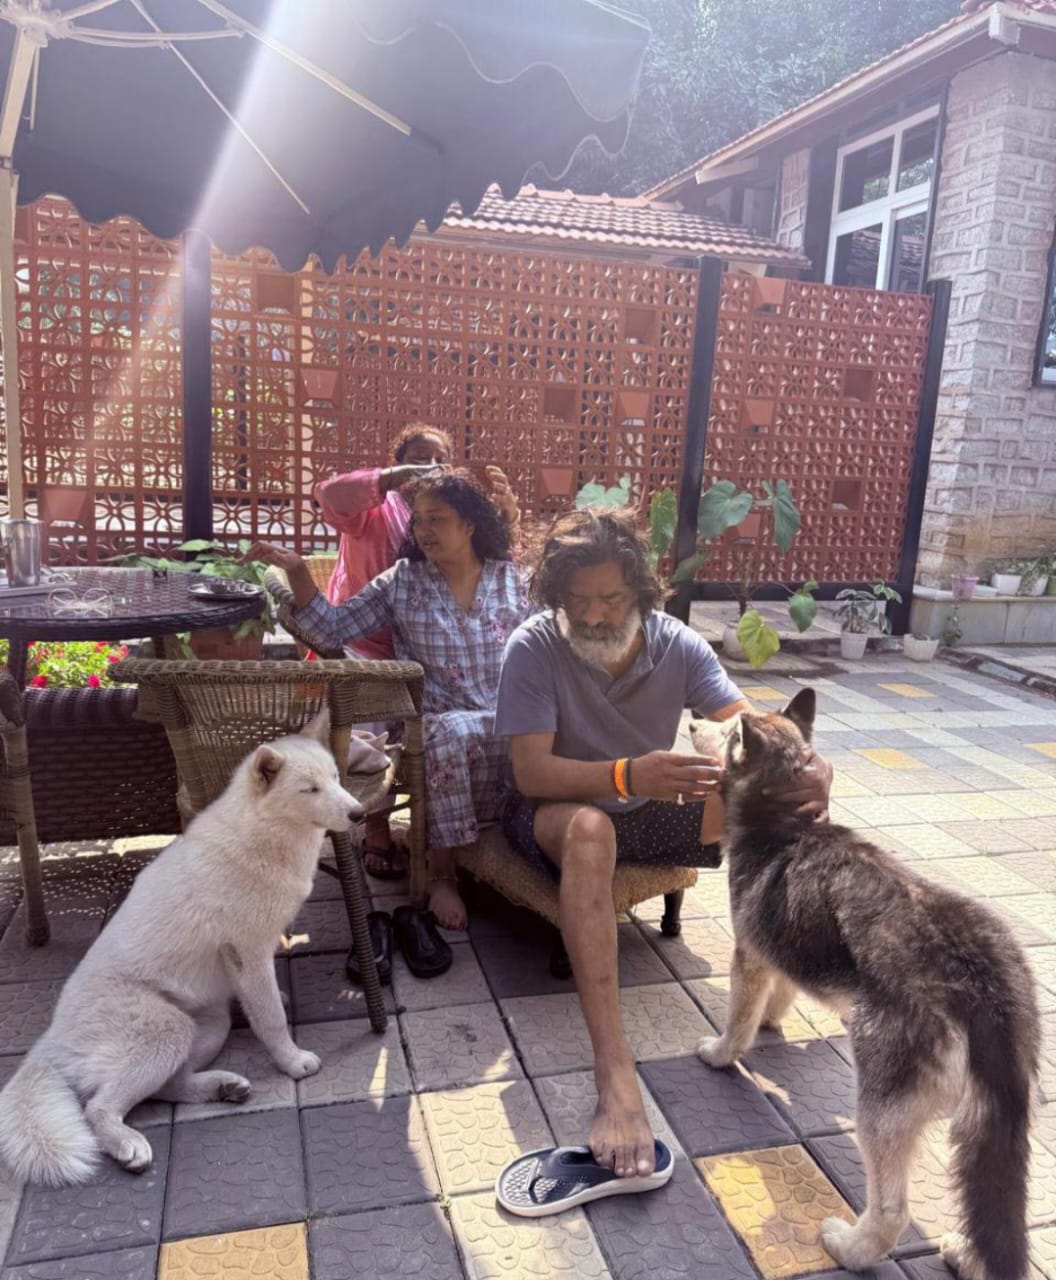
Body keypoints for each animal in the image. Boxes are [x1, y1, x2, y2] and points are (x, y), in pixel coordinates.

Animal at [0, 715, 361, 1187]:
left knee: (166, 1087)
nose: (359, 813)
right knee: (99, 1106)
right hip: (165, 1033)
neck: (264, 834)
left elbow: (264, 1001)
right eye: (309, 789)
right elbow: (271, 1019)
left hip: (206, 1027)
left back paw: (223, 1087)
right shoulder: (246, 953)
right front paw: (291, 1060)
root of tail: (52, 1040)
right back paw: (129, 1145)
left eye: (335, 778)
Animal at [694, 688, 1039, 1280]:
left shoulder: (749, 956)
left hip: (880, 1103)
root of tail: (981, 981)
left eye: (724, 731)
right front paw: (773, 1019)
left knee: (892, 1211)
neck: (788, 825)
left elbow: (737, 1021)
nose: (692, 718)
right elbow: (780, 993)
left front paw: (722, 1052)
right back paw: (967, 1257)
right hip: (993, 1131)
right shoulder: (781, 952)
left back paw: (851, 1248)